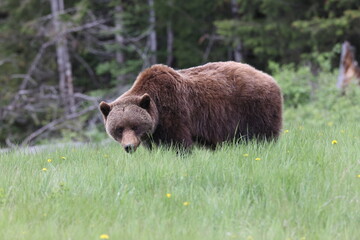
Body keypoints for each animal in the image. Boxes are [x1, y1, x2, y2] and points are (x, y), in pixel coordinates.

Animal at [100, 61, 282, 153]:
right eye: (119, 129)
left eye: (135, 126)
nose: (129, 147)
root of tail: (268, 77)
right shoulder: (153, 130)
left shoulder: (174, 111)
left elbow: (178, 142)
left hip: (255, 107)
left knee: (264, 134)